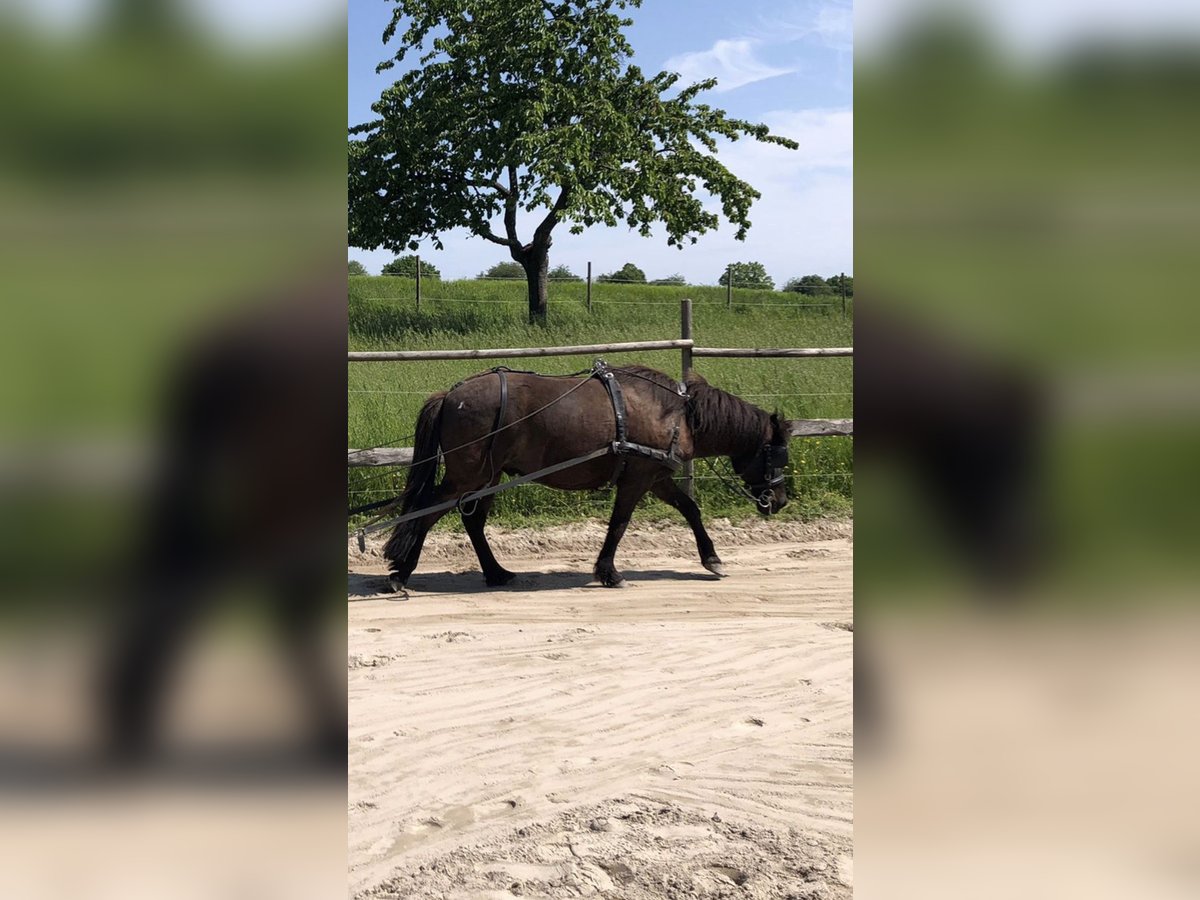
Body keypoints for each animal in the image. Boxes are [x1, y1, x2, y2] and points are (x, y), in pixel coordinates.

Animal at [381, 364, 791, 592]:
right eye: (777, 453)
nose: (781, 499)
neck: (677, 413)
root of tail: (451, 395)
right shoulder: (638, 478)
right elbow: (619, 524)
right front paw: (609, 572)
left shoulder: (656, 477)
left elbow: (690, 509)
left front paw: (712, 558)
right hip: (468, 475)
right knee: (426, 512)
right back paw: (402, 571)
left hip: (489, 476)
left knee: (473, 522)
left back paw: (496, 572)